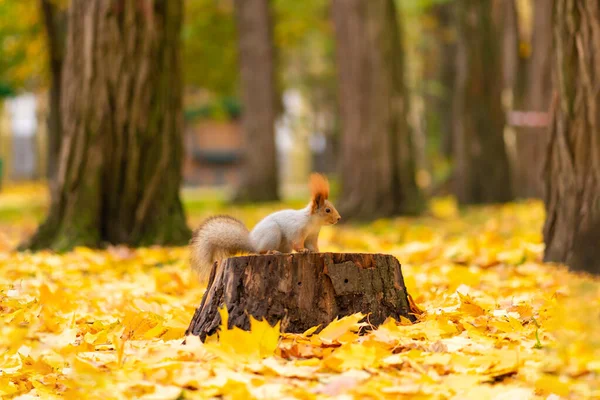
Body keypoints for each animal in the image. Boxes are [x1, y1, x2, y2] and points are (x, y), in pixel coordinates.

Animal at [192, 173, 342, 282]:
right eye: (327, 210)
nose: (339, 218)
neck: (313, 223)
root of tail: (252, 242)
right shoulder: (297, 230)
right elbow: (297, 243)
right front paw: (303, 250)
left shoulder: (312, 236)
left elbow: (312, 246)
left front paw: (317, 251)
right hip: (272, 233)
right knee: (260, 251)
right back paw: (272, 252)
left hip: (283, 244)